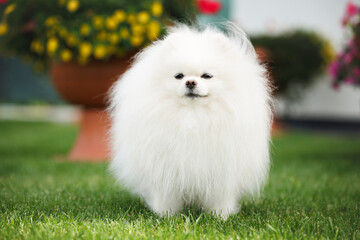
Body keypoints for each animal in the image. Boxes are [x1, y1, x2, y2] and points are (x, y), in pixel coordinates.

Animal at [108, 24, 272, 219]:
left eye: (207, 76)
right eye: (179, 76)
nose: (191, 82)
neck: (193, 118)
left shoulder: (222, 169)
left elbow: (220, 196)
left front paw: (220, 215)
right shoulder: (165, 167)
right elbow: (166, 195)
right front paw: (166, 214)